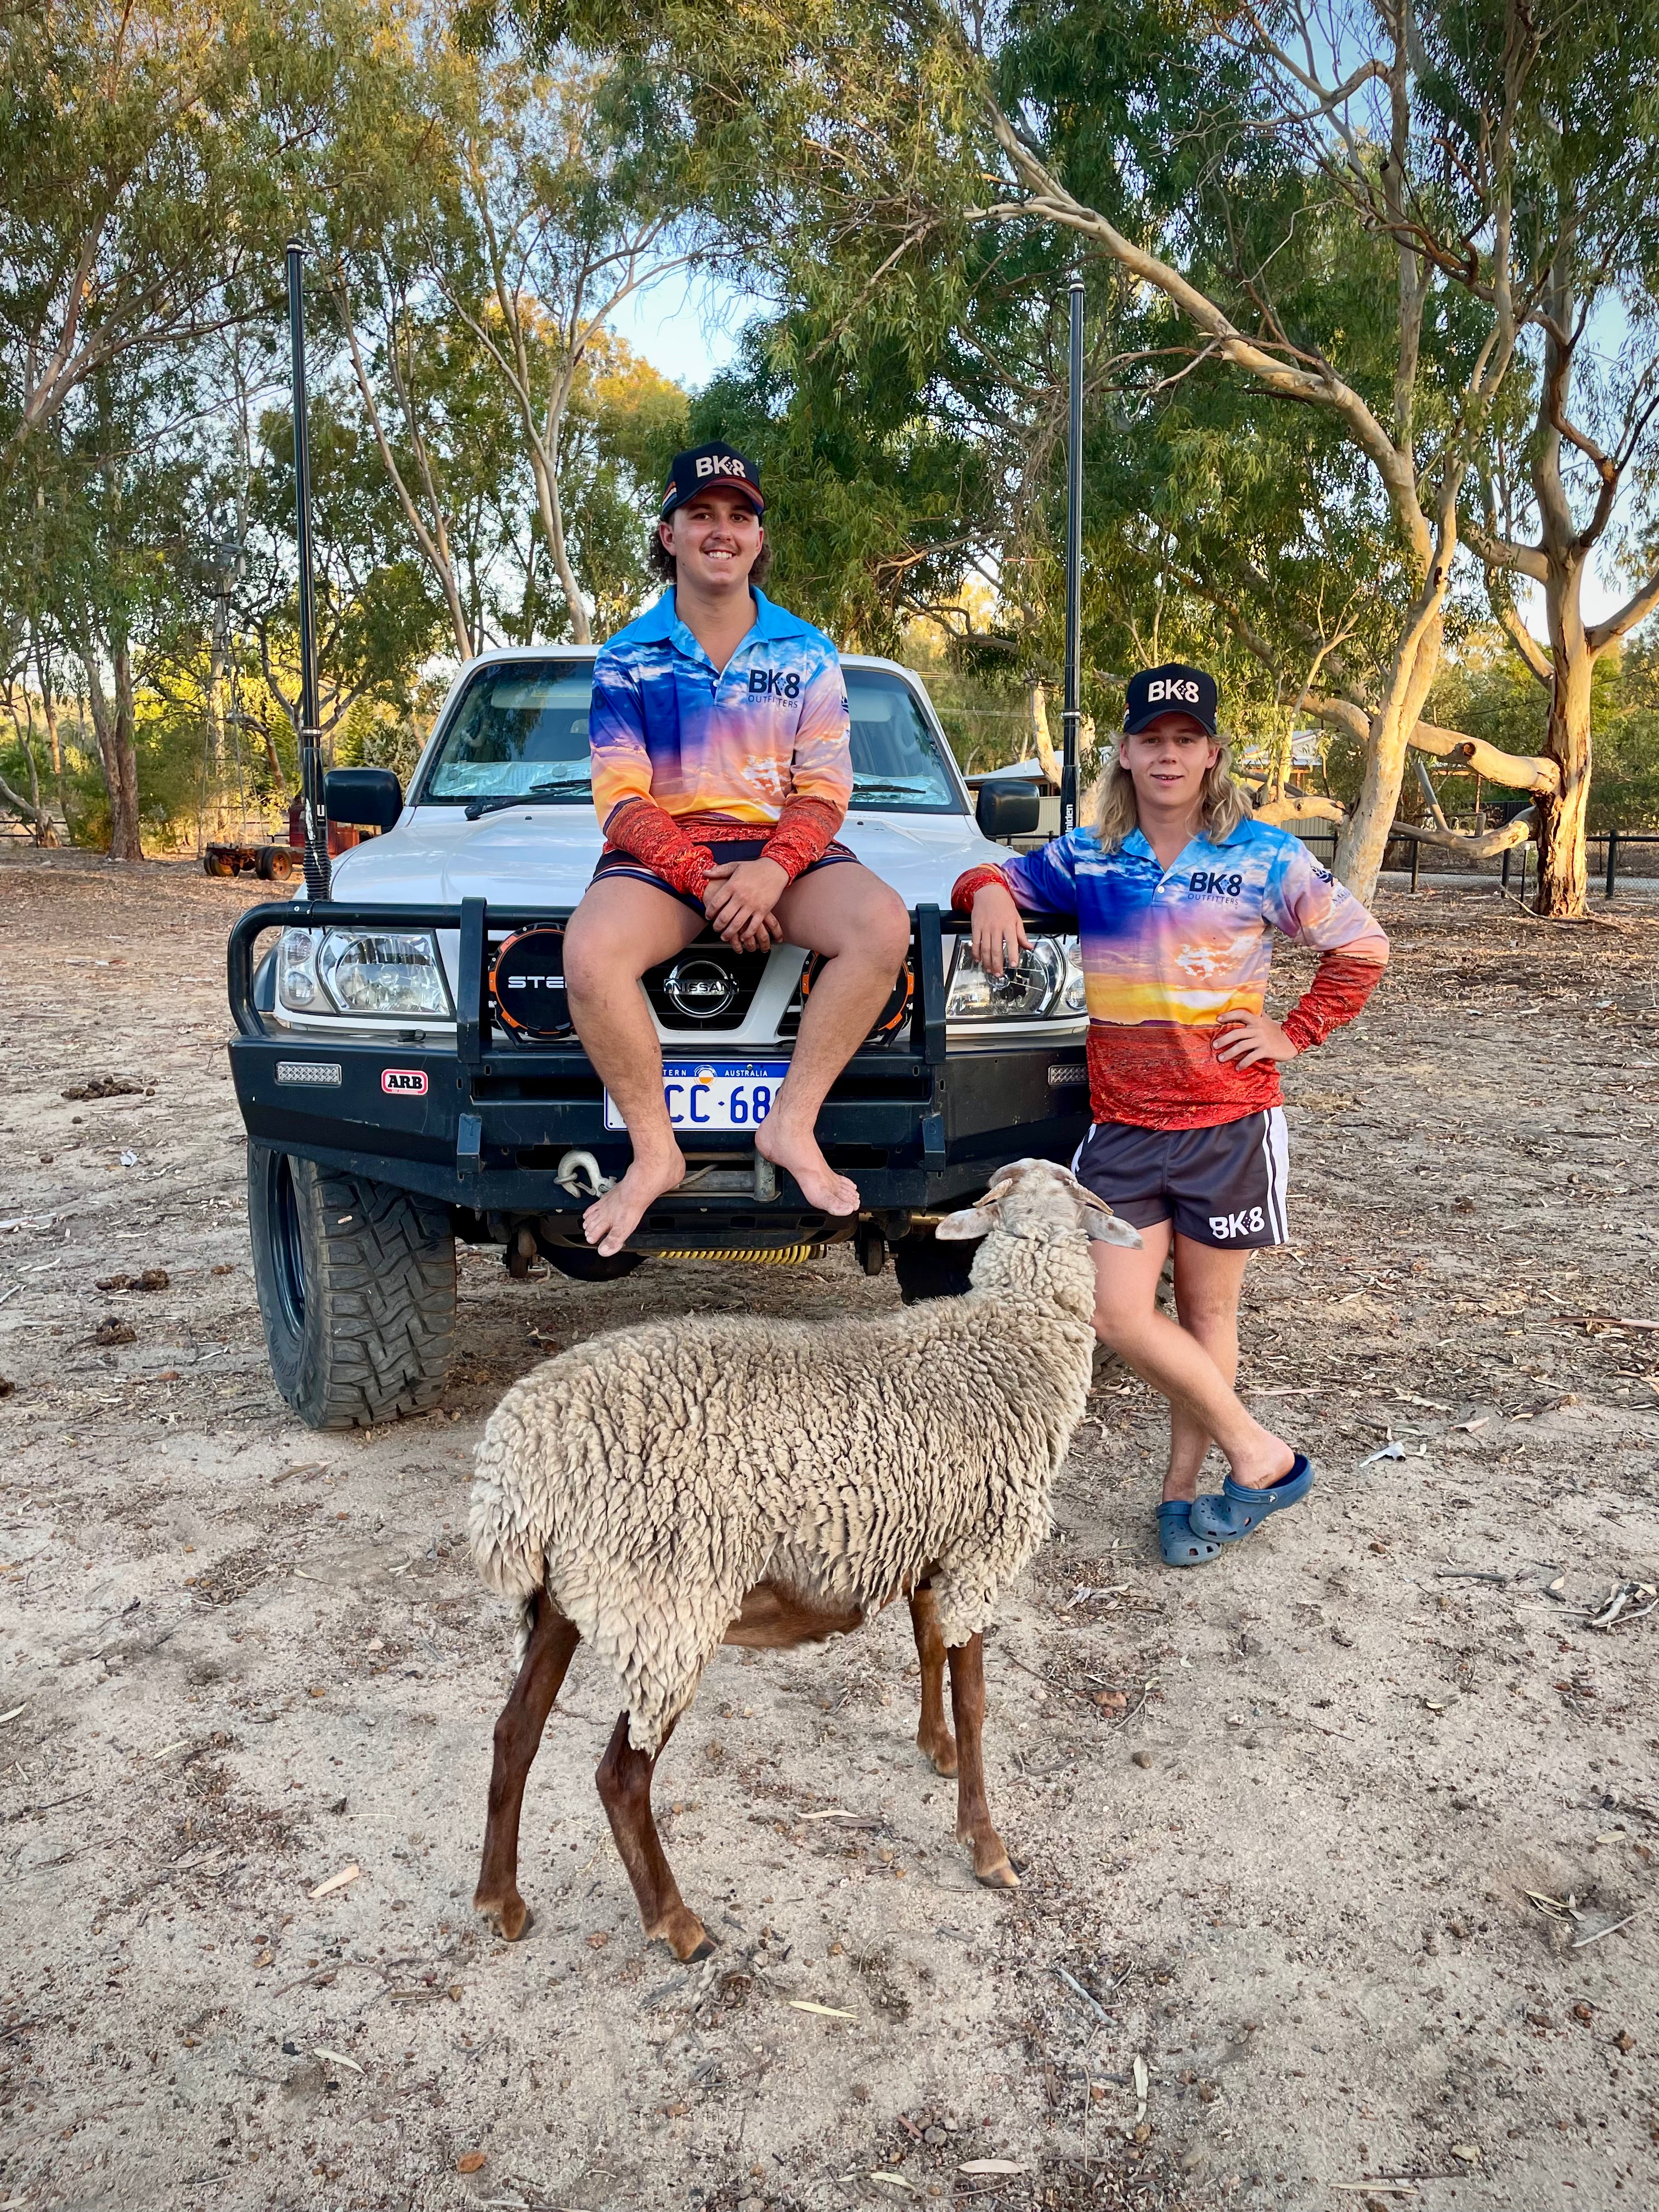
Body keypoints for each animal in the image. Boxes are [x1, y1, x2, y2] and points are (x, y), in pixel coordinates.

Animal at [469, 1159, 1141, 1955]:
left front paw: (935, 1748)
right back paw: (678, 1923)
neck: (1005, 1339)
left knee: (514, 1734)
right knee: (620, 1776)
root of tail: (514, 1466)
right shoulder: (980, 1554)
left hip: (571, 1596)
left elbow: (927, 1651)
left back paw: (500, 1902)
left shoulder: (928, 1544)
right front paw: (986, 1846)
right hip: (667, 1609)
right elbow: (976, 1700)